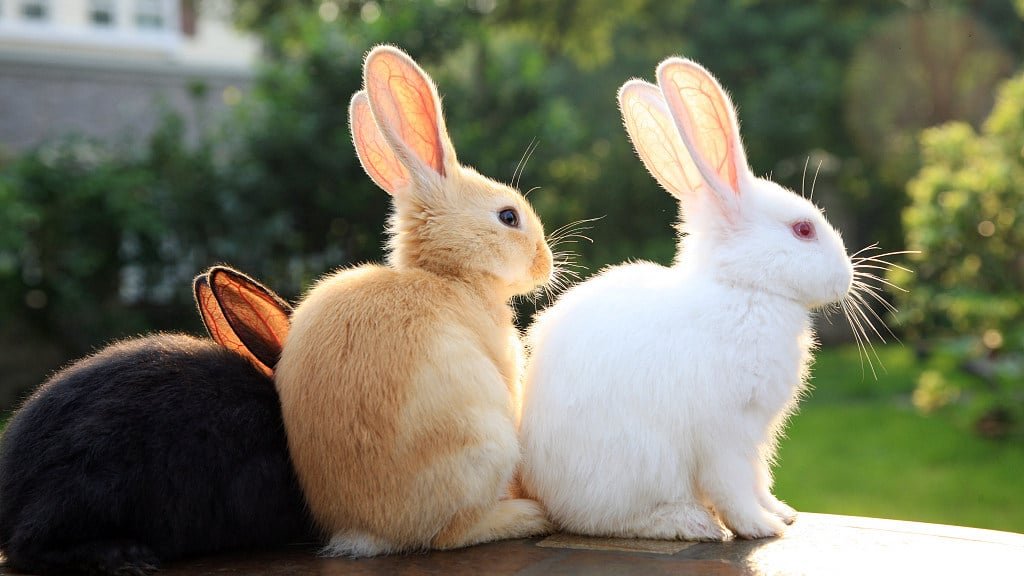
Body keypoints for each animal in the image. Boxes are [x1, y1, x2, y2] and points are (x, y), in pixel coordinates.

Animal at [274, 45, 554, 558]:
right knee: (451, 534)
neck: (450, 275)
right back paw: (526, 515)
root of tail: (371, 531)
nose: (544, 264)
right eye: (508, 217)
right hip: (488, 443)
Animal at [518, 57, 855, 542]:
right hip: (642, 462)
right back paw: (690, 521)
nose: (846, 279)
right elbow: (733, 487)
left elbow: (758, 480)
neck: (742, 289)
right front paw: (761, 528)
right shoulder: (726, 434)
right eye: (803, 229)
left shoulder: (755, 437)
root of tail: (541, 491)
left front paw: (781, 513)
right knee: (607, 520)